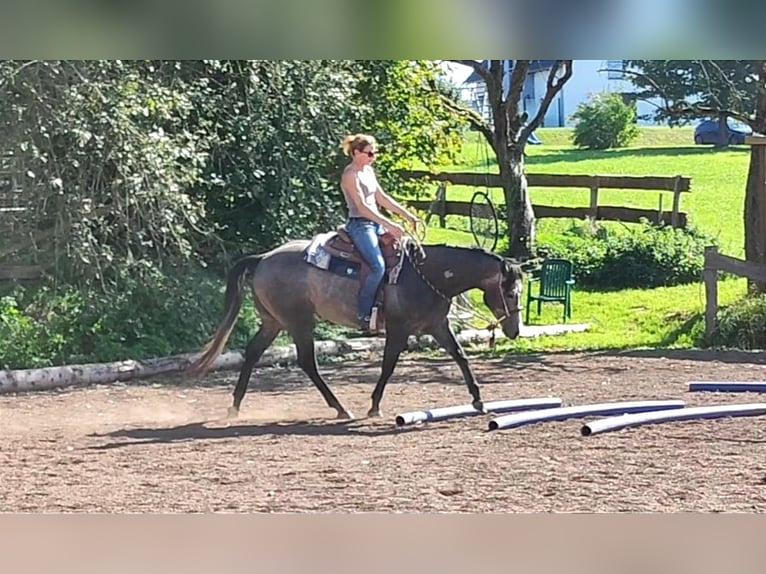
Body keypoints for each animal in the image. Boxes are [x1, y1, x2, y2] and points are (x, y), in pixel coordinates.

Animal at [189, 236, 524, 420]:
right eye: (510, 292)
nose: (514, 331)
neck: (428, 274)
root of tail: (263, 259)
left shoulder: (438, 326)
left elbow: (460, 357)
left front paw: (478, 399)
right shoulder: (399, 329)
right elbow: (388, 365)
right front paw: (374, 405)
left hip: (274, 321)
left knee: (253, 352)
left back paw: (235, 407)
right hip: (299, 321)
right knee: (307, 362)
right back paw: (340, 408)